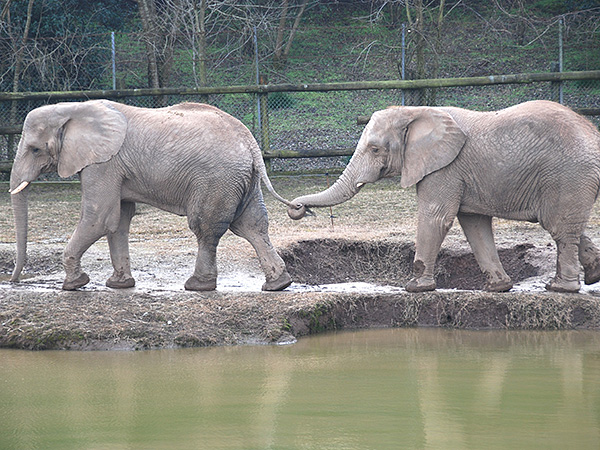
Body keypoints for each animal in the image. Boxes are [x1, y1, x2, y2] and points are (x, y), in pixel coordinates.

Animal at [7, 99, 292, 292]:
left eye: (34, 149)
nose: (13, 281)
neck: (73, 108)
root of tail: (251, 142)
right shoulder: (112, 167)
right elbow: (118, 220)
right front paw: (118, 285)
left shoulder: (104, 163)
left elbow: (100, 217)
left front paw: (74, 284)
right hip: (242, 180)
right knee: (252, 225)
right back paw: (278, 284)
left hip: (217, 179)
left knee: (205, 228)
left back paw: (197, 286)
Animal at [288, 100, 600, 294]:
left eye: (375, 149)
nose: (297, 208)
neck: (413, 112)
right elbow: (474, 224)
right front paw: (497, 288)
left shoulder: (444, 167)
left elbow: (436, 217)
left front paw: (415, 288)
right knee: (566, 226)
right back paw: (591, 276)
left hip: (568, 175)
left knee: (559, 227)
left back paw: (561, 288)